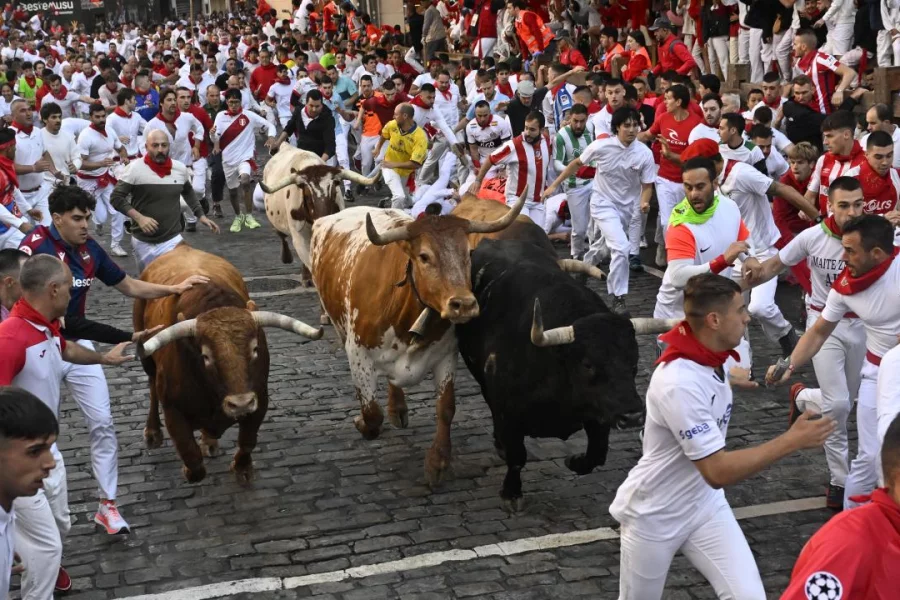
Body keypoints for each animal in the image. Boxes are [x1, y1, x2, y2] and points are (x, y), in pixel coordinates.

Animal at [136, 246, 324, 486]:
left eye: (255, 349)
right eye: (205, 356)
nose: (240, 404)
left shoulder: (259, 400)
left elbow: (247, 440)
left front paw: (242, 467)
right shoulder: (172, 409)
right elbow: (192, 459)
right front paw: (188, 470)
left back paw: (209, 441)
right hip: (146, 355)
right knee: (151, 388)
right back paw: (152, 432)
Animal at [312, 195, 528, 486]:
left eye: (468, 253)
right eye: (424, 256)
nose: (464, 304)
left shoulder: (446, 355)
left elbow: (446, 408)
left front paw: (437, 461)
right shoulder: (357, 353)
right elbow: (371, 413)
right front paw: (361, 422)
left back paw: (398, 408)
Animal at [458, 239, 648, 510]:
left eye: (634, 362)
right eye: (587, 364)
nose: (632, 416)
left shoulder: (600, 411)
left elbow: (597, 454)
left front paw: (574, 461)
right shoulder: (508, 412)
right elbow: (517, 456)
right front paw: (511, 493)